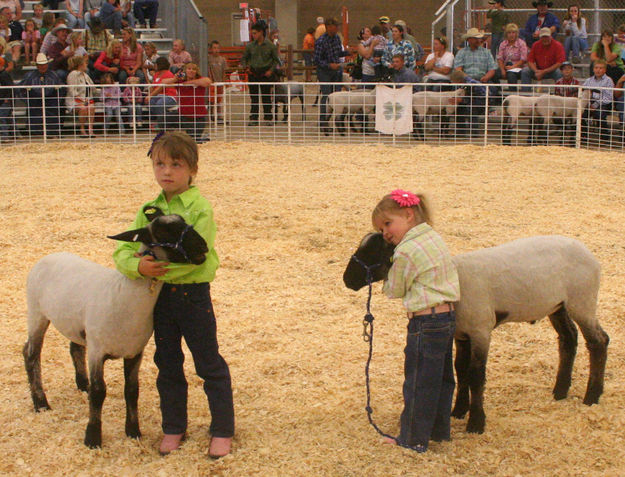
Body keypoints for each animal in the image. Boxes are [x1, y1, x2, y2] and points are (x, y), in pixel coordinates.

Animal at [23, 206, 208, 448]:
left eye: (183, 221)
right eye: (164, 232)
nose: (203, 247)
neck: (124, 295)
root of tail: (48, 256)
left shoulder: (135, 351)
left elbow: (132, 391)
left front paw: (133, 431)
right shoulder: (97, 351)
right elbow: (99, 392)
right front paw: (93, 437)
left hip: (76, 323)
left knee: (74, 348)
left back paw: (82, 384)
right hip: (37, 313)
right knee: (31, 354)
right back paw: (41, 403)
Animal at [342, 232, 608, 434]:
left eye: (373, 251)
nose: (347, 279)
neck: (452, 278)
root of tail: (591, 256)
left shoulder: (481, 331)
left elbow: (476, 375)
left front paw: (476, 423)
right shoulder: (461, 334)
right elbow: (461, 370)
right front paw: (459, 411)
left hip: (582, 300)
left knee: (598, 341)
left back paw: (592, 396)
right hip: (558, 305)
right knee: (568, 338)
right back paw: (560, 391)